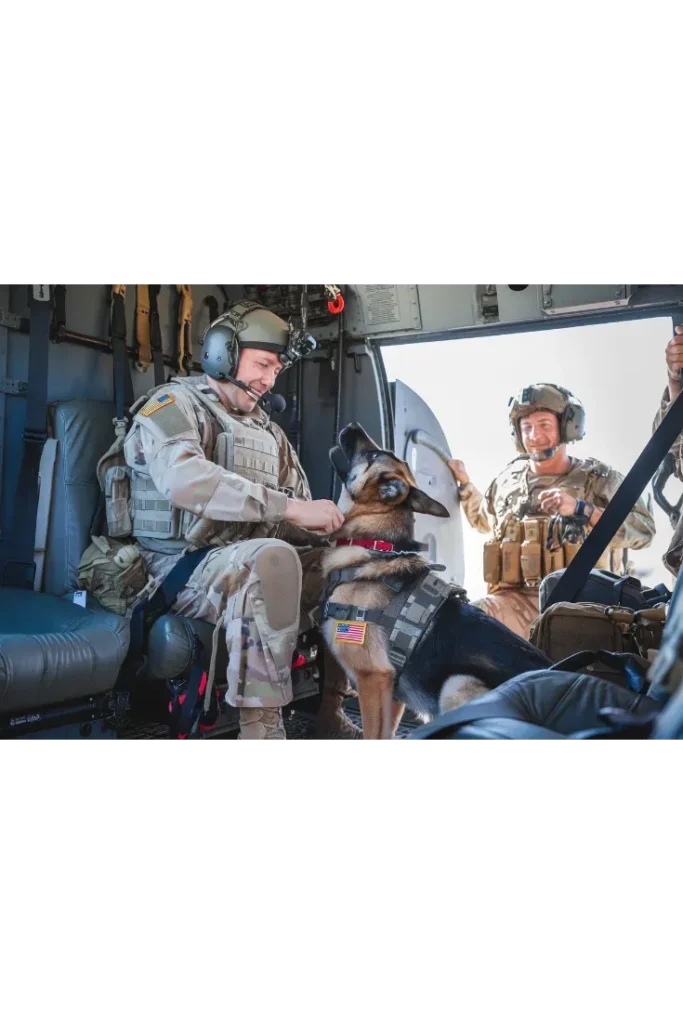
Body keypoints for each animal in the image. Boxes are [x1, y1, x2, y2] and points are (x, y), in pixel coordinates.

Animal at [323, 423, 552, 745]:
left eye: (373, 455)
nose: (353, 425)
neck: (375, 543)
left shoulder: (373, 680)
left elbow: (373, 736)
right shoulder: (393, 692)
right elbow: (386, 735)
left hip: (456, 685)